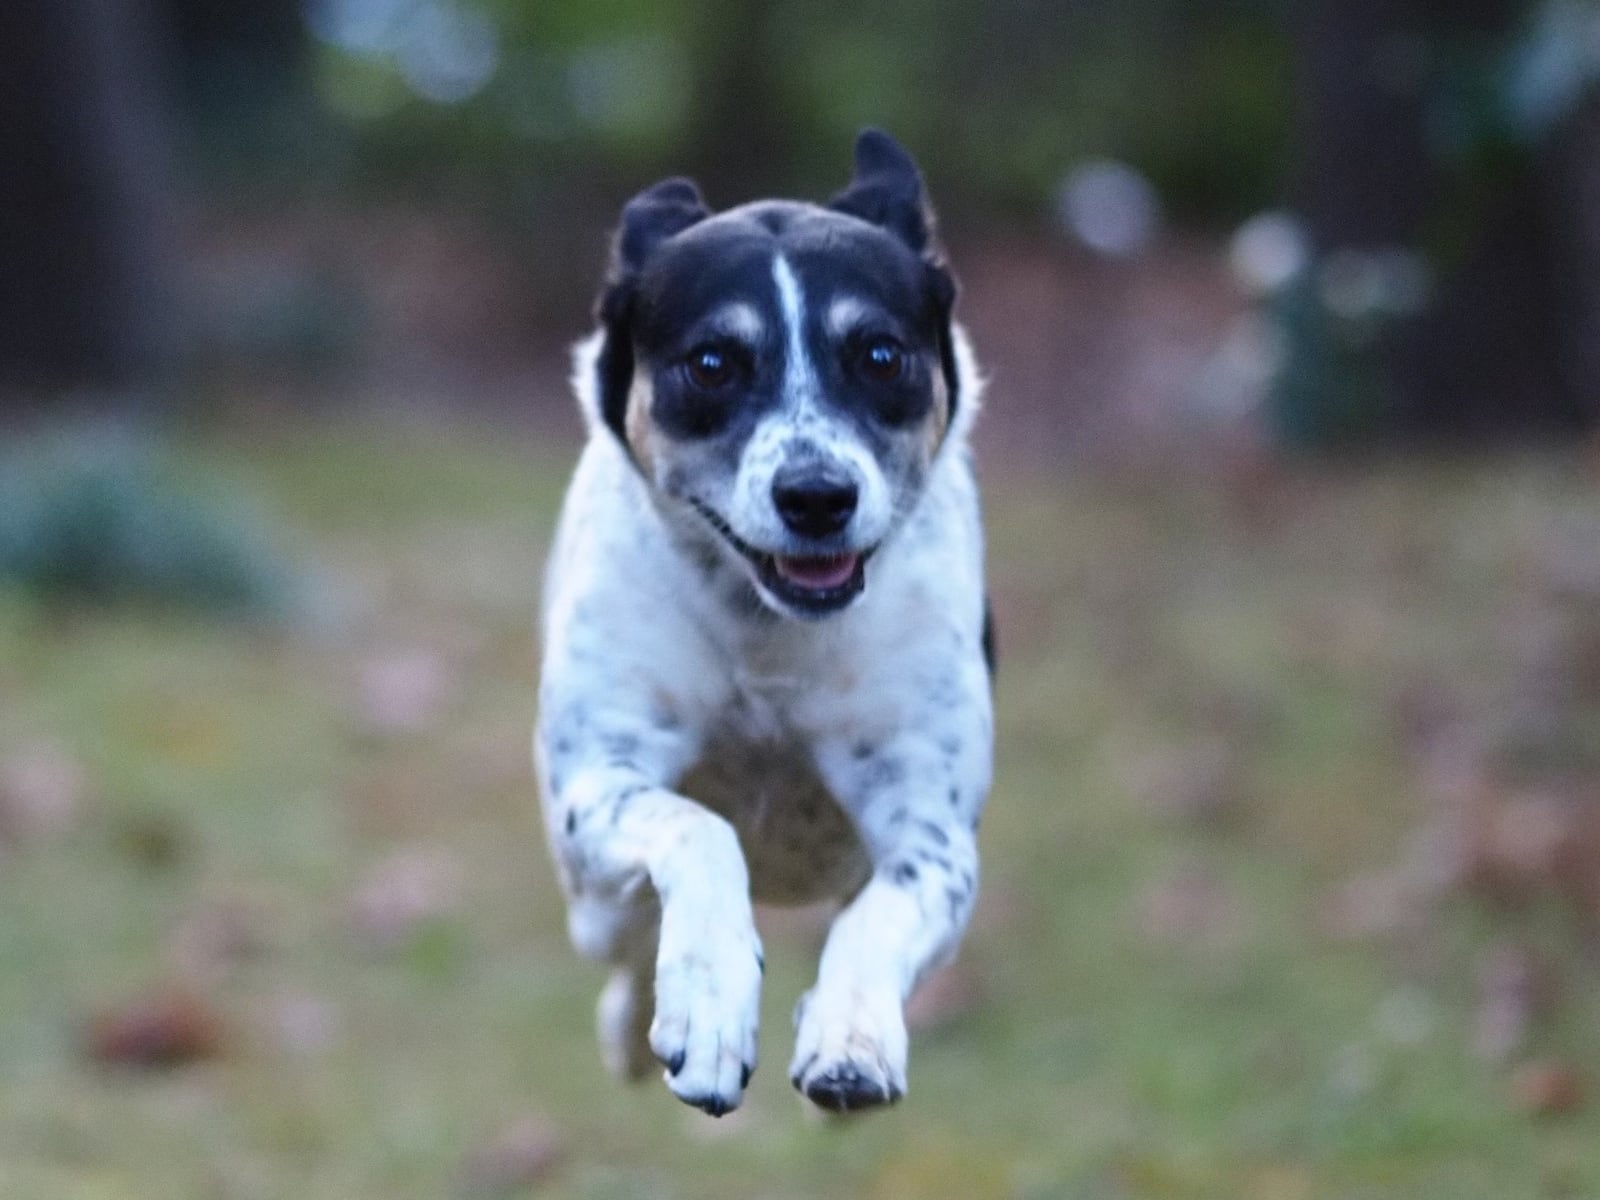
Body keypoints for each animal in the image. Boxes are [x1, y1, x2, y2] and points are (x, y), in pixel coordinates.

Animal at [531, 129, 992, 1120]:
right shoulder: (596, 783)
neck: (768, 633)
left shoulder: (931, 831)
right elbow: (699, 830)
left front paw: (851, 1039)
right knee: (628, 941)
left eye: (881, 355)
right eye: (712, 364)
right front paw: (706, 1009)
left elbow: (881, 911)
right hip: (590, 901)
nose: (816, 496)